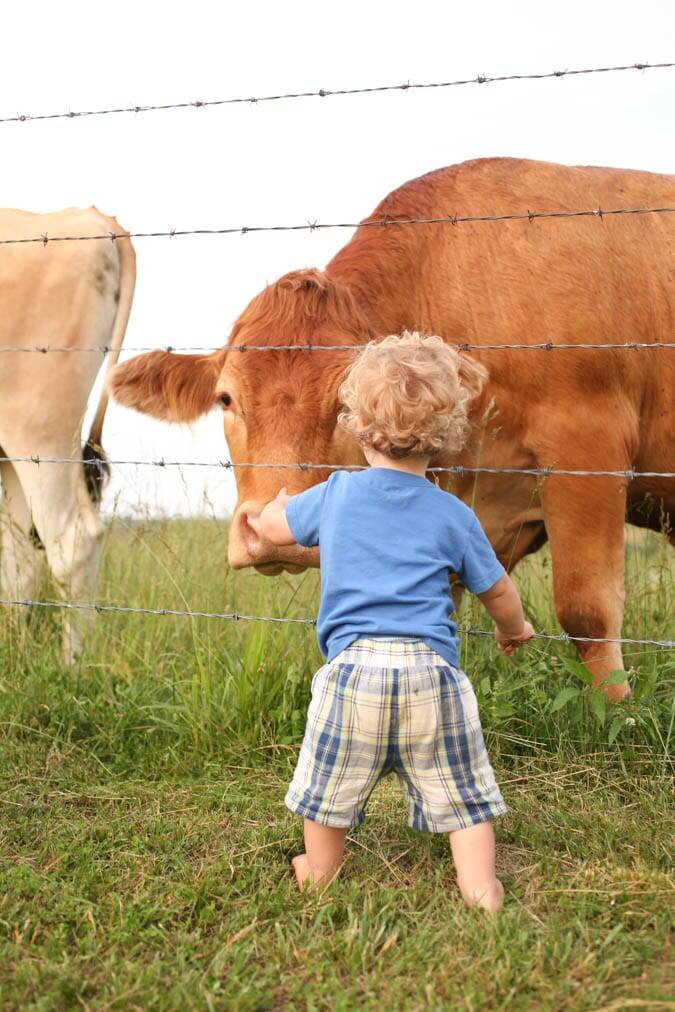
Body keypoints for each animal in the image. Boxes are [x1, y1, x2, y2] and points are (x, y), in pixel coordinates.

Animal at [110, 157, 675, 700]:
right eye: (226, 398)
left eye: (346, 401)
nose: (269, 529)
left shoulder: (587, 447)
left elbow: (588, 611)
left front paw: (615, 712)